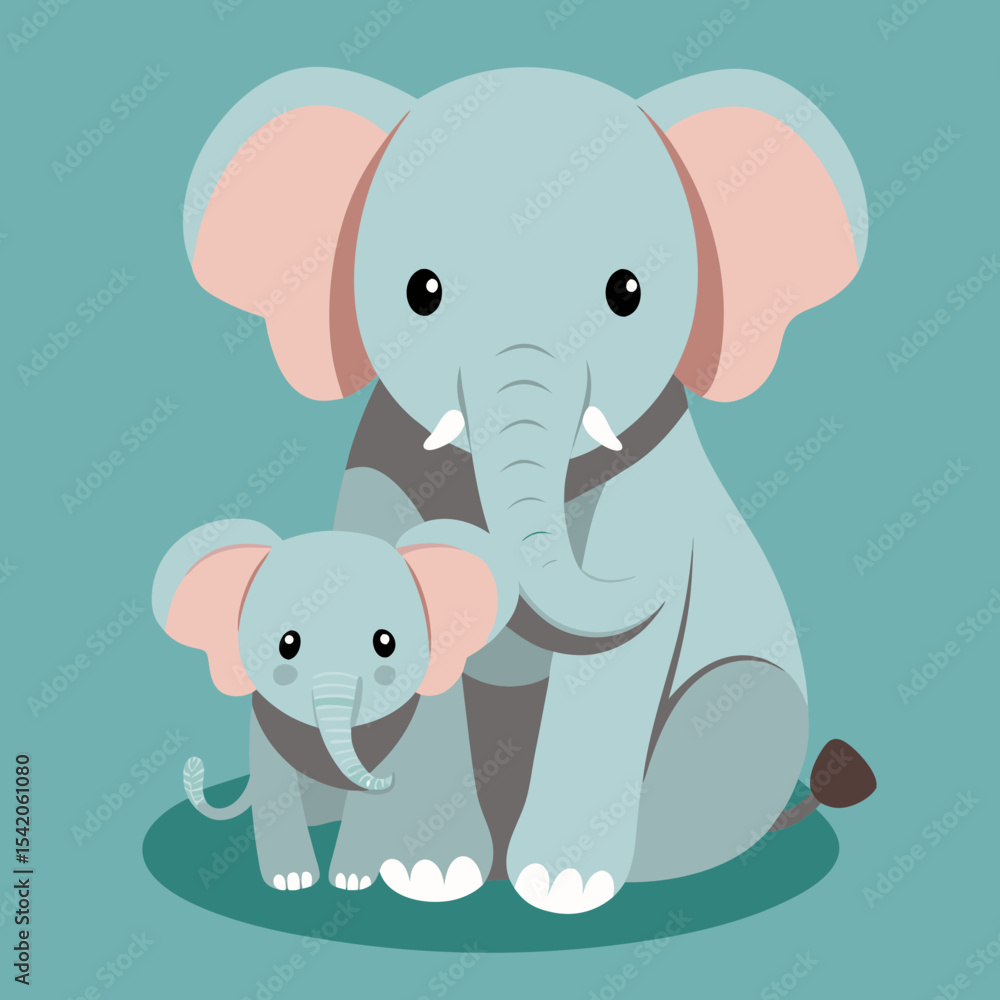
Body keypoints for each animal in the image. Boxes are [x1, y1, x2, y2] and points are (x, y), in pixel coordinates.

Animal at [152, 518, 506, 895]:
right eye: (286, 644)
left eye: (386, 643)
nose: (194, 766)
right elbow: (275, 788)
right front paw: (291, 881)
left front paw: (351, 881)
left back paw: (436, 875)